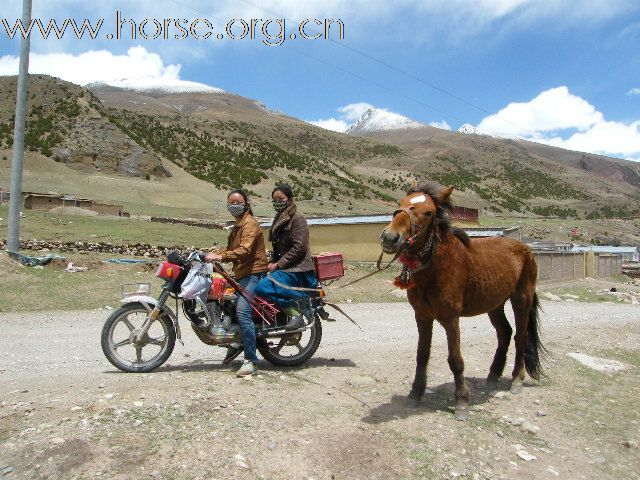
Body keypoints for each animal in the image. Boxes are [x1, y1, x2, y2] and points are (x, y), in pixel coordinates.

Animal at [378, 182, 548, 422]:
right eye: (400, 203)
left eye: (428, 212)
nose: (390, 238)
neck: (437, 266)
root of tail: (527, 249)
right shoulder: (422, 317)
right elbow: (422, 355)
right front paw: (415, 394)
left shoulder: (451, 319)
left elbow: (456, 360)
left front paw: (461, 401)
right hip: (494, 304)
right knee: (504, 332)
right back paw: (493, 376)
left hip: (521, 301)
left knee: (520, 337)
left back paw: (516, 380)